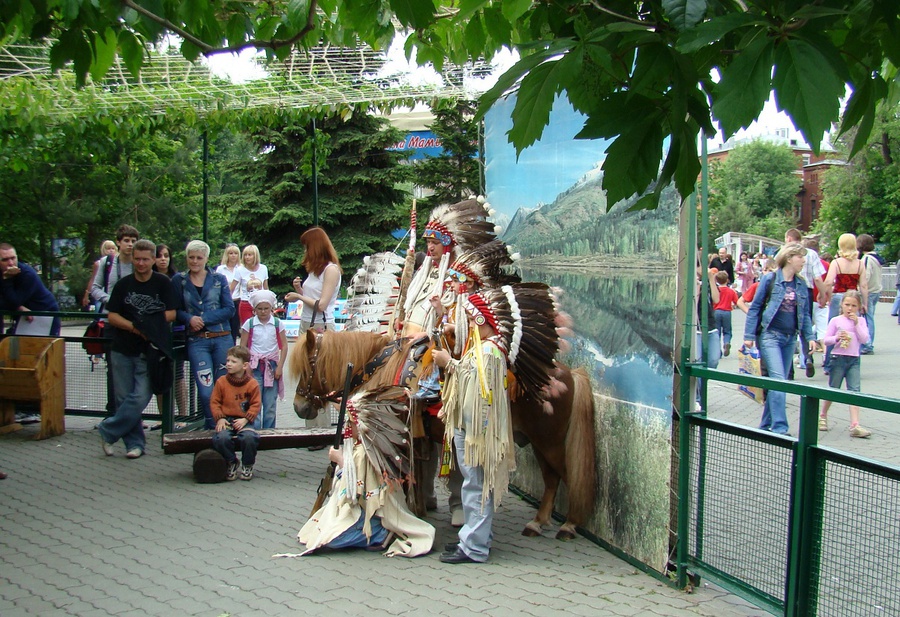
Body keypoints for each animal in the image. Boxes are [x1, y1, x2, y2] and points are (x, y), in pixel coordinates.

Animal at [290, 330, 596, 536]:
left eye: (307, 367)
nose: (298, 406)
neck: (380, 366)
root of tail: (568, 372)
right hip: (539, 442)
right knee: (552, 479)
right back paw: (539, 521)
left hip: (550, 442)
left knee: (566, 475)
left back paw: (569, 524)